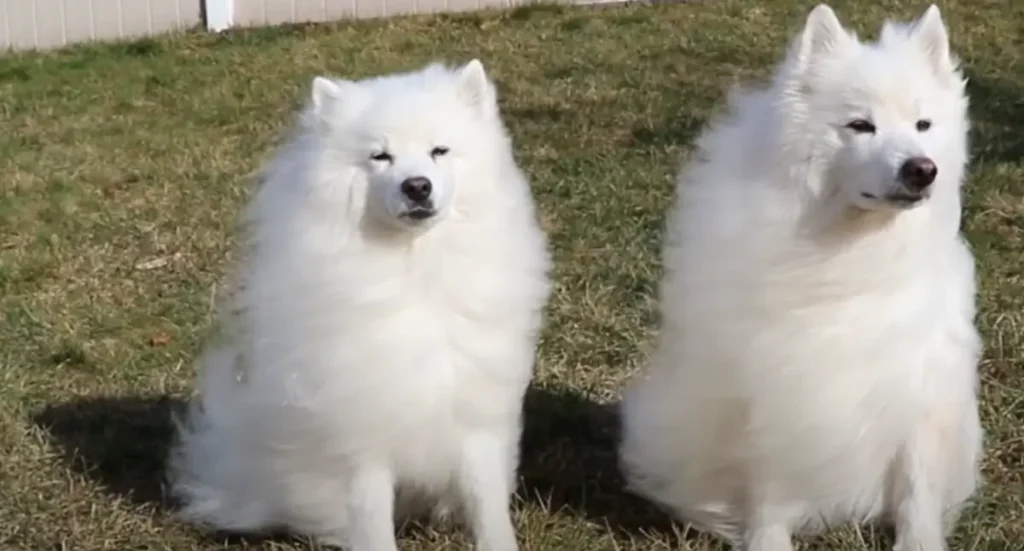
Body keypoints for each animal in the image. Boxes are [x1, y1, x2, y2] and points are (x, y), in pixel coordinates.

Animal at [167, 59, 552, 548]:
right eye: (380, 156)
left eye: (439, 151)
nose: (417, 186)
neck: (415, 271)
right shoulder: (362, 436)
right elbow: (371, 518)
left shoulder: (474, 415)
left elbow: (487, 505)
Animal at [614, 5, 983, 548]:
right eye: (860, 125)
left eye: (923, 124)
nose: (922, 169)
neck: (854, 254)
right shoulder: (776, 387)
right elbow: (769, 489)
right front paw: (767, 542)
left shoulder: (919, 383)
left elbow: (918, 490)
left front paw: (919, 542)